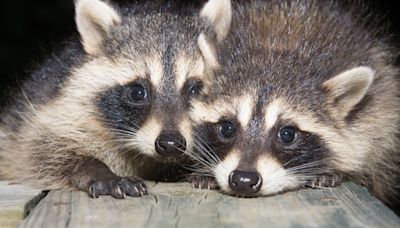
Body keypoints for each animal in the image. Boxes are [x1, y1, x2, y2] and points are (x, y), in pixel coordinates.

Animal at [0, 0, 228, 199]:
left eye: (196, 90)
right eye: (137, 92)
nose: (171, 144)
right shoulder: (54, 110)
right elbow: (44, 150)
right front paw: (98, 170)